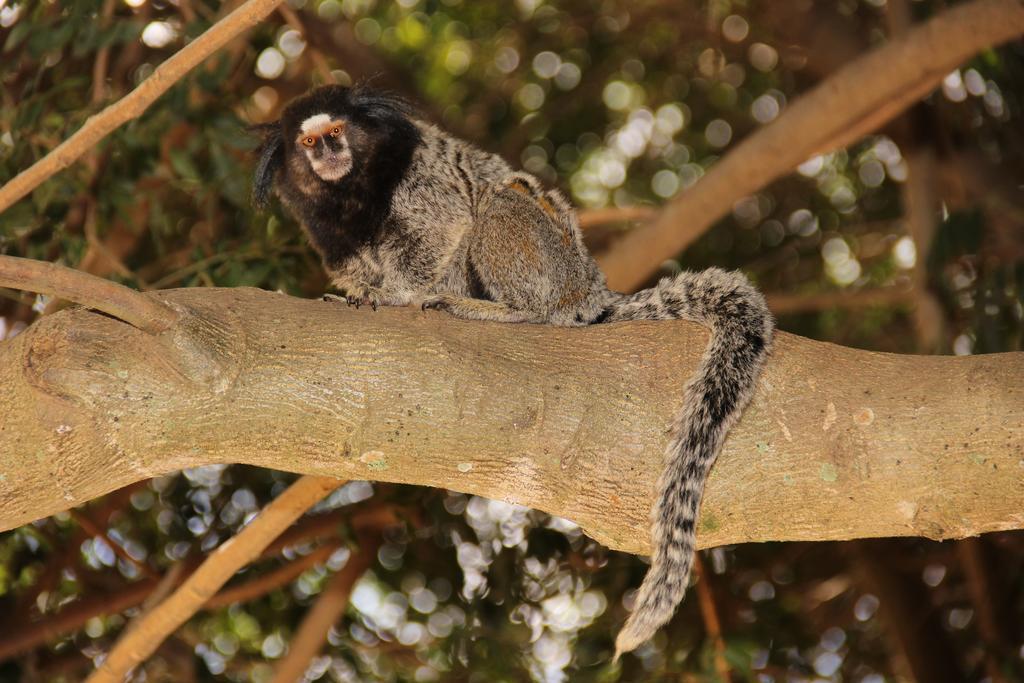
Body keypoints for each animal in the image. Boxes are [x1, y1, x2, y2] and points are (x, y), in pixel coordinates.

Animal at [251, 85, 770, 655]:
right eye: (308, 142)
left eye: (337, 132)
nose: (328, 153)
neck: (352, 193)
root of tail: (590, 290)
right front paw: (366, 292)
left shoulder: (419, 178)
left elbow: (444, 227)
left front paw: (395, 297)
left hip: (551, 261)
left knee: (499, 200)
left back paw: (505, 310)